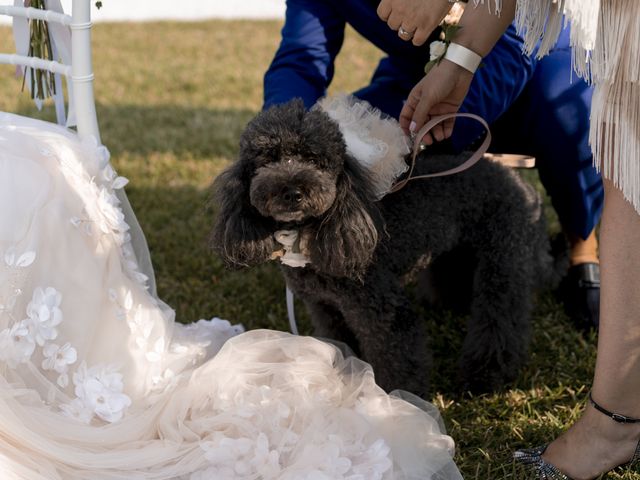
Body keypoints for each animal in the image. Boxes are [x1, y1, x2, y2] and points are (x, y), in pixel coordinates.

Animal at [212, 99, 552, 396]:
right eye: (267, 159)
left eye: (316, 161)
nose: (293, 192)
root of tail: (519, 181)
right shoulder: (325, 307)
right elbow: (340, 342)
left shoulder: (383, 310)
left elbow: (397, 358)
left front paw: (397, 399)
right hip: (456, 251)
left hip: (504, 260)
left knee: (501, 318)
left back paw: (484, 377)